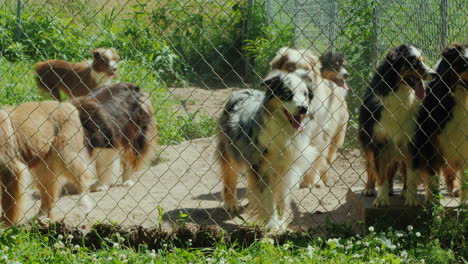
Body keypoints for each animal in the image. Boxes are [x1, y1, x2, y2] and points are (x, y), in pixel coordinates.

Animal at [218, 70, 316, 231]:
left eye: (305, 94)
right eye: (287, 94)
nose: (303, 108)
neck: (283, 131)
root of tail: (243, 91)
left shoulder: (287, 167)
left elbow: (282, 196)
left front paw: (282, 222)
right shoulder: (261, 167)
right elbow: (268, 196)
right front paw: (271, 223)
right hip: (229, 151)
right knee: (229, 175)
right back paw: (231, 203)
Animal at [358, 44, 436, 207]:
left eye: (423, 60)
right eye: (414, 62)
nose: (434, 74)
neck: (398, 93)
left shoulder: (412, 141)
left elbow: (411, 174)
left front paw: (411, 199)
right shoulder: (379, 142)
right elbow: (380, 173)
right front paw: (381, 199)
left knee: (401, 170)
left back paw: (402, 191)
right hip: (368, 143)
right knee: (371, 167)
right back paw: (369, 188)